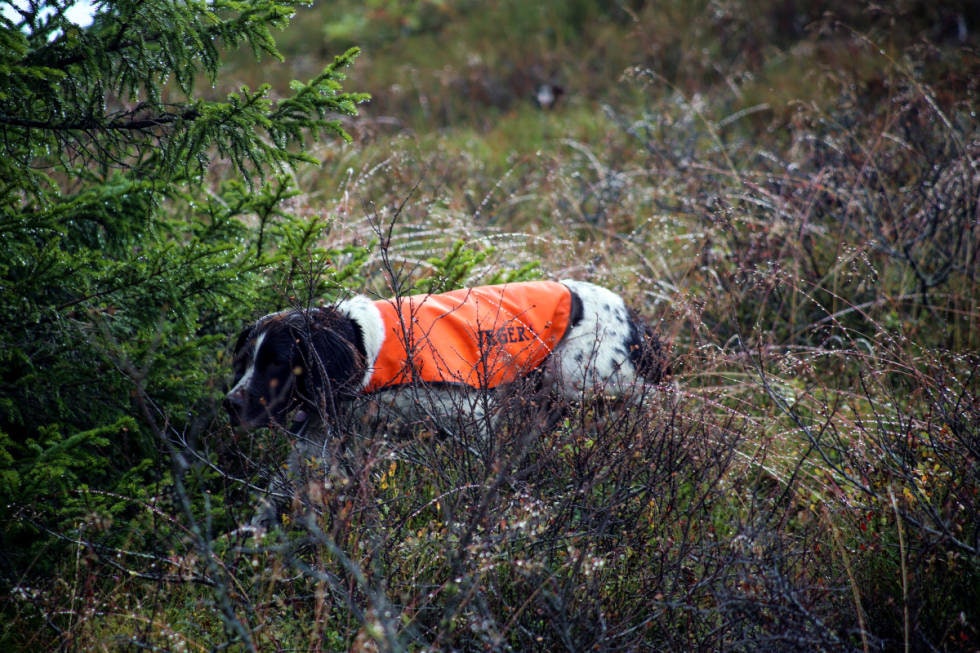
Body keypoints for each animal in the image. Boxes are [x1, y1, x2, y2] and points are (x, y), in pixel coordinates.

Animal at [222, 278, 668, 524]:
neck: (366, 347)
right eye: (242, 362)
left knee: (652, 400)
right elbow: (278, 489)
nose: (230, 403)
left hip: (585, 378)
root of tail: (631, 315)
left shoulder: (470, 414)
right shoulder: (322, 437)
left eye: (278, 364)